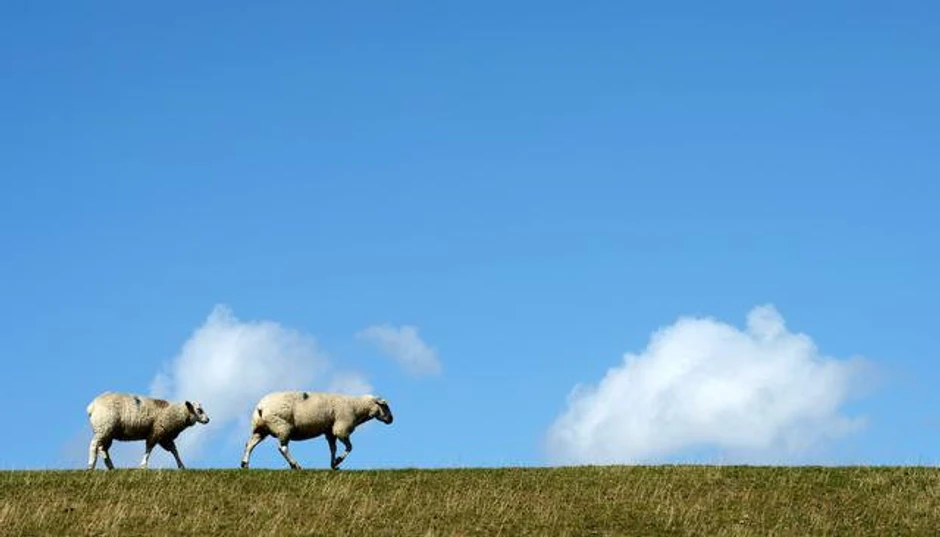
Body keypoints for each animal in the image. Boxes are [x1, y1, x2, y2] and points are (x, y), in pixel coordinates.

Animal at [240, 391, 393, 470]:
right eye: (385, 406)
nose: (391, 419)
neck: (356, 407)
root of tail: (261, 406)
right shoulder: (341, 428)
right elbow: (350, 447)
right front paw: (338, 461)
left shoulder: (330, 431)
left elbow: (333, 448)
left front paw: (333, 464)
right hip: (282, 425)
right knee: (282, 448)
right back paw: (295, 465)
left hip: (260, 428)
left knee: (250, 444)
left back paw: (245, 464)